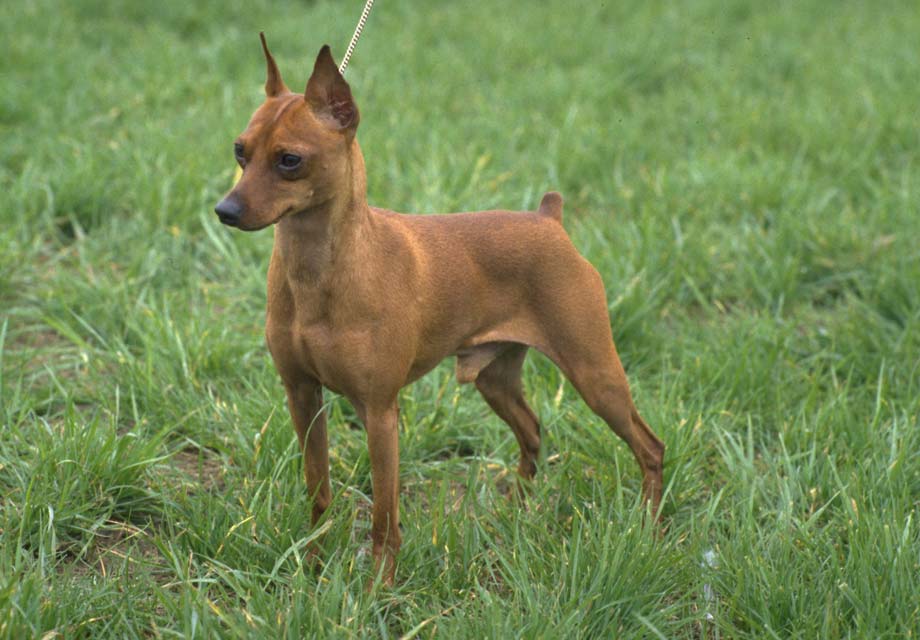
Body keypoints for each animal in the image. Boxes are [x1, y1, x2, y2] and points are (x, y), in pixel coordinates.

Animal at [216, 35, 660, 584]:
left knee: (649, 447)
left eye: (289, 160)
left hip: (595, 374)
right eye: (240, 151)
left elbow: (384, 516)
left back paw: (649, 532)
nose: (225, 211)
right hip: (496, 378)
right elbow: (318, 489)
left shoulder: (380, 412)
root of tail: (549, 220)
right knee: (532, 431)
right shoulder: (302, 396)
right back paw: (518, 513)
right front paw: (313, 566)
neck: (319, 270)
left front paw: (377, 588)